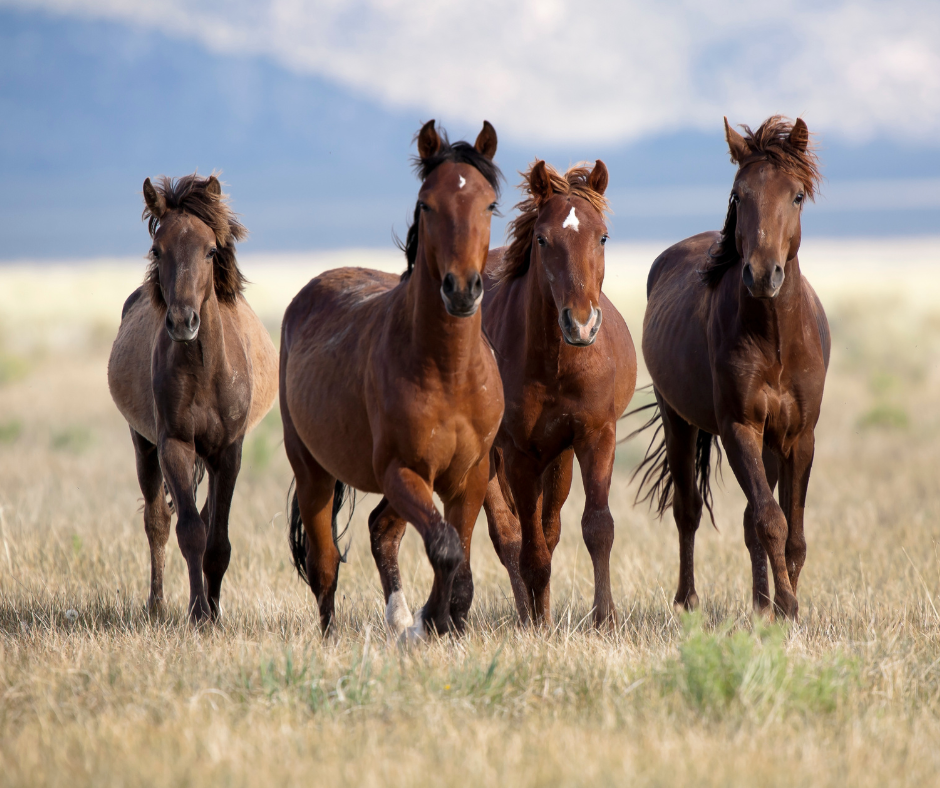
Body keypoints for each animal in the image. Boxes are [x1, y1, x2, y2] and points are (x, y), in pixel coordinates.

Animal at [108, 174, 278, 623]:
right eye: (157, 249)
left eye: (211, 250)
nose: (183, 321)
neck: (204, 371)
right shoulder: (175, 445)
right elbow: (189, 532)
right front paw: (199, 614)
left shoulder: (228, 452)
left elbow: (217, 540)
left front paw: (213, 612)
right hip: (143, 444)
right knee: (158, 522)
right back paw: (157, 606)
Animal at [281, 120, 504, 638]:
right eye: (427, 204)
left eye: (489, 204)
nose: (461, 290)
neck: (449, 372)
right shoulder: (403, 470)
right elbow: (445, 547)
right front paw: (430, 621)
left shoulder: (470, 475)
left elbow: (459, 557)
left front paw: (443, 621)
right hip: (313, 472)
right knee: (325, 564)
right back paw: (338, 635)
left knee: (382, 530)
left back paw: (400, 619)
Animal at [481, 160, 637, 628]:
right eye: (542, 239)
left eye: (602, 236)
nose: (581, 324)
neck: (555, 363)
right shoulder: (517, 453)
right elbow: (529, 550)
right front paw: (537, 627)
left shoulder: (594, 436)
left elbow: (597, 527)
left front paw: (605, 619)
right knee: (510, 536)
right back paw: (528, 617)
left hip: (559, 458)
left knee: (548, 531)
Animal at [634, 115, 829, 619]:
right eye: (738, 195)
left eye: (796, 195)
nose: (762, 274)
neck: (775, 340)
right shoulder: (739, 427)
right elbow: (771, 520)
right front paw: (787, 607)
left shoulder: (799, 436)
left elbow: (793, 532)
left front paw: (783, 604)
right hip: (678, 420)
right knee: (688, 510)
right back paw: (688, 600)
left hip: (770, 442)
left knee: (745, 520)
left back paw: (759, 604)